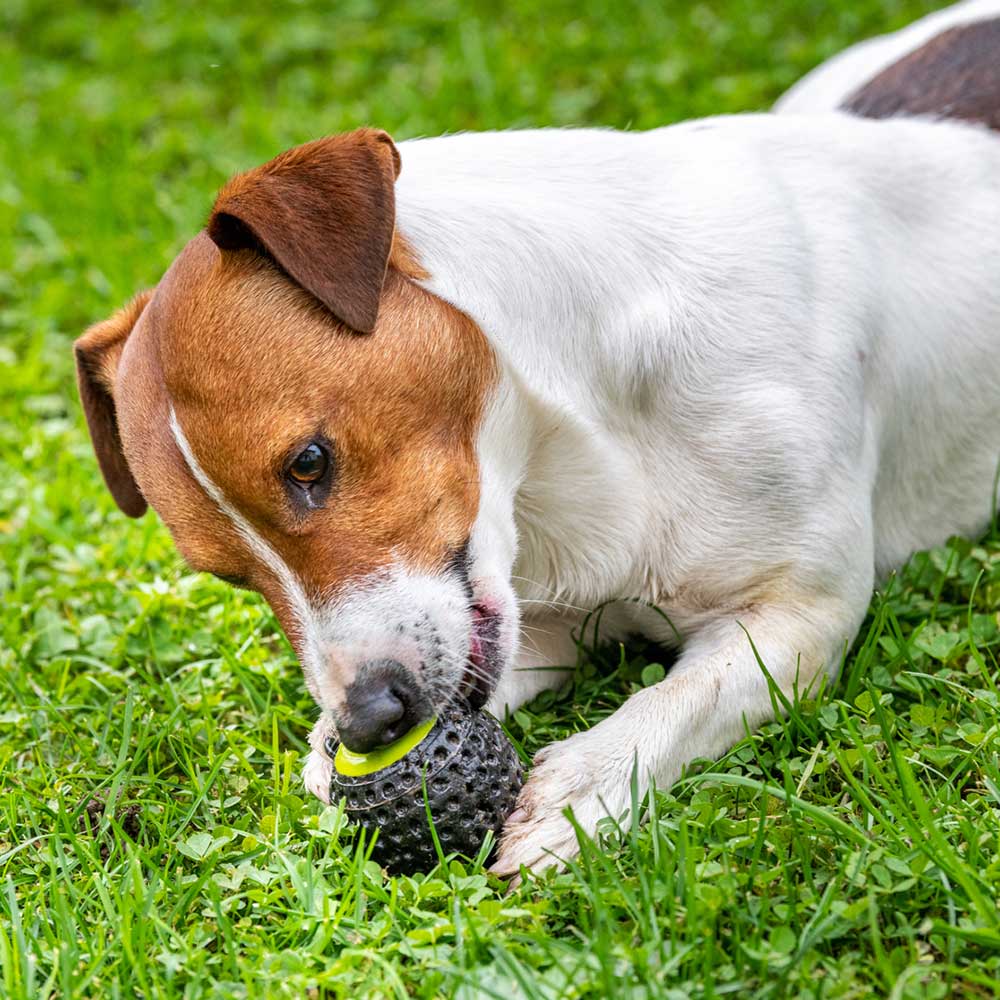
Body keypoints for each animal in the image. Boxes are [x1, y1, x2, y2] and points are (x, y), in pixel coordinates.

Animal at [76, 1, 1000, 876]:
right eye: (228, 574)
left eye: (309, 462)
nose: (368, 723)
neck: (580, 435)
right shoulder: (538, 620)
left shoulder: (799, 619)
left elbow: (681, 698)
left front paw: (590, 780)